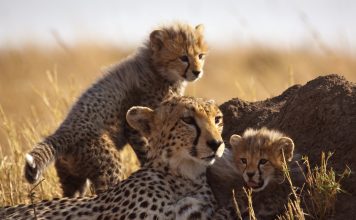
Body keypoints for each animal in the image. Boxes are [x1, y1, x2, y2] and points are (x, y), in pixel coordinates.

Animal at [23, 23, 207, 197]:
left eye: (200, 56)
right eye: (183, 57)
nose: (197, 72)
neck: (155, 66)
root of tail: (63, 130)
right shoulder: (133, 124)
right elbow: (146, 149)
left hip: (73, 179)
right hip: (108, 165)